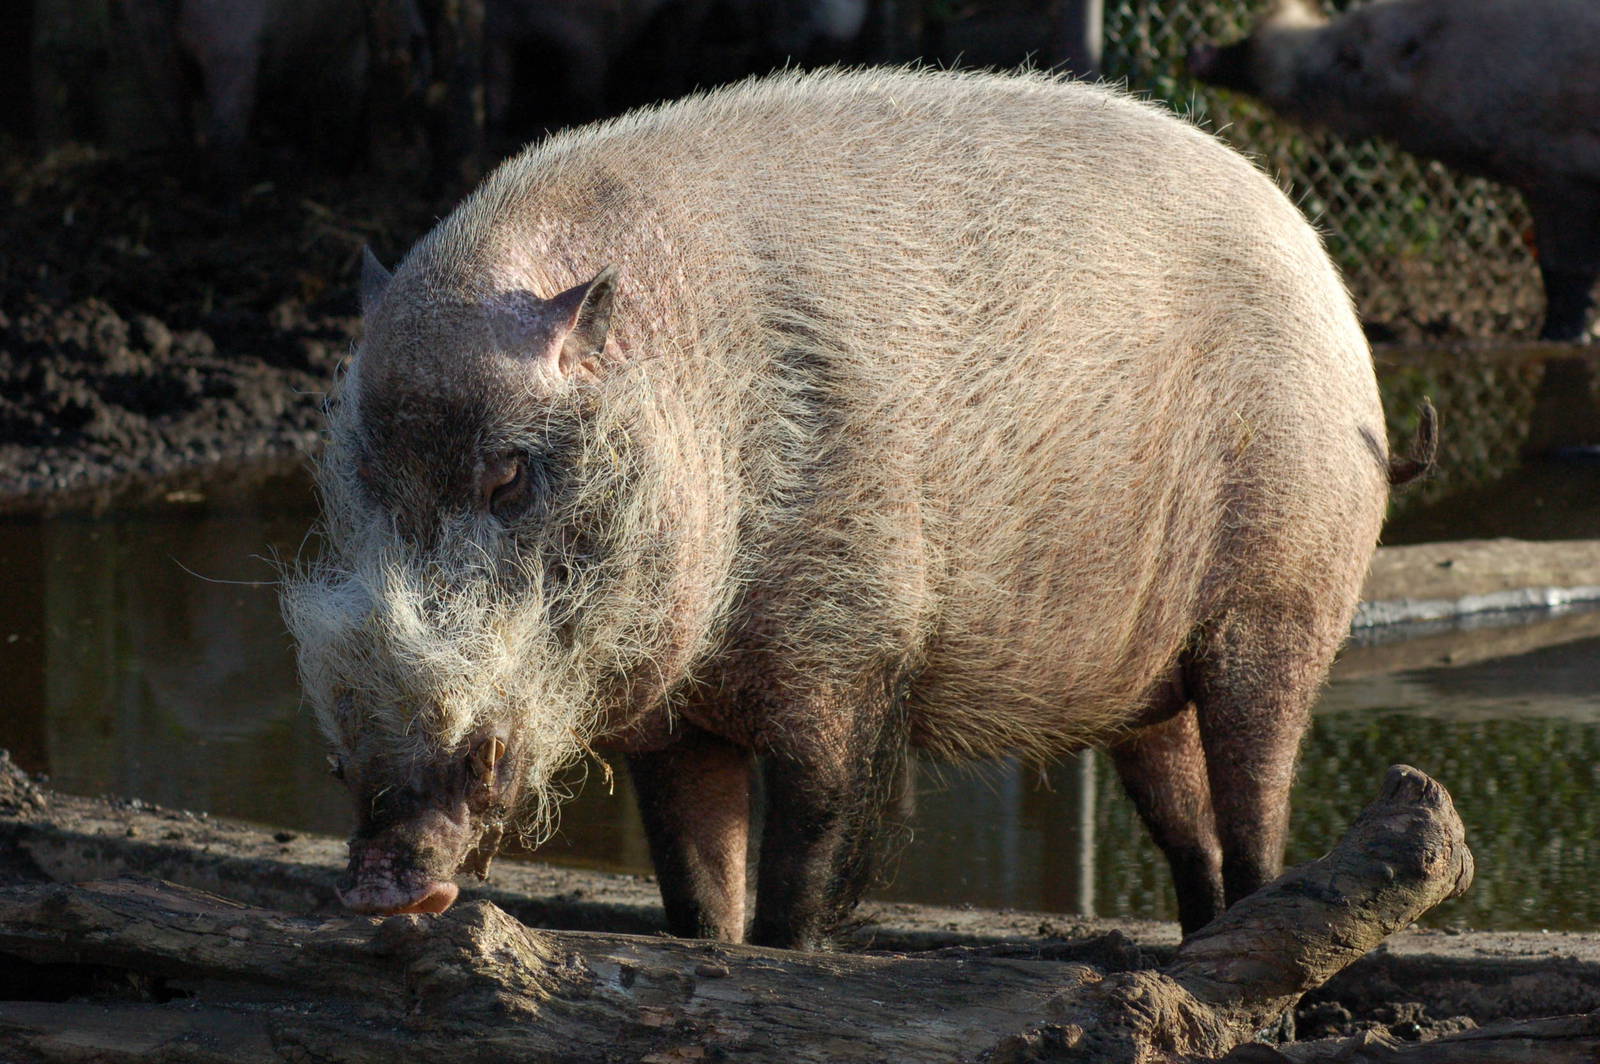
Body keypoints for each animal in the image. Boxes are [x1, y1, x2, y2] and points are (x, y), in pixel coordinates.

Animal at [282, 67, 1421, 946]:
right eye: (353, 480)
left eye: (510, 477)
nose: (382, 879)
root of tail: (1322, 270)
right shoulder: (672, 723)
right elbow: (698, 890)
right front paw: (714, 944)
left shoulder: (855, 649)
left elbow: (811, 861)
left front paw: (789, 954)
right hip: (1145, 683)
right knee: (1187, 824)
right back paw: (1196, 944)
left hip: (1284, 596)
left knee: (1258, 798)